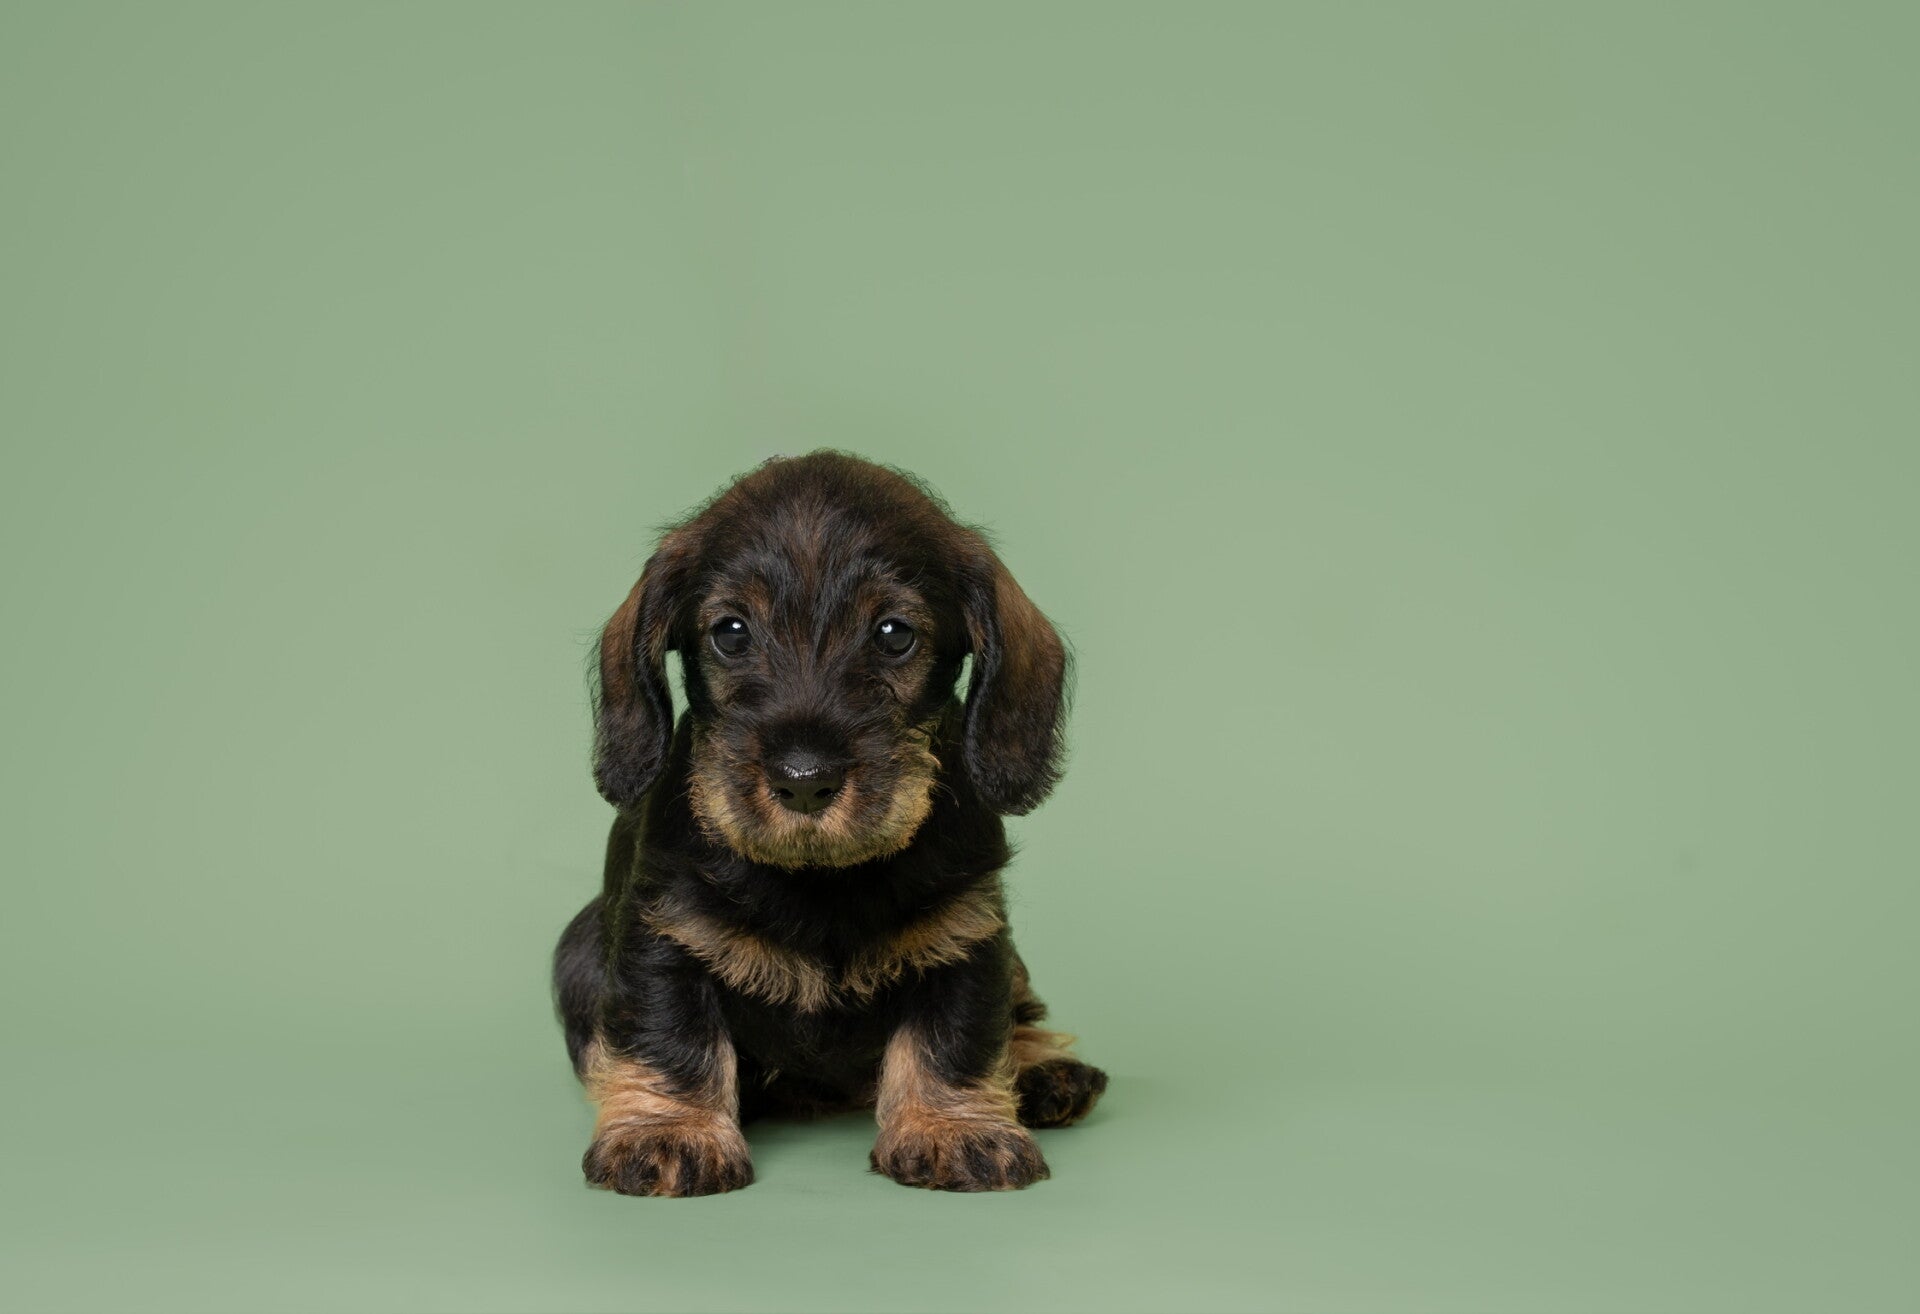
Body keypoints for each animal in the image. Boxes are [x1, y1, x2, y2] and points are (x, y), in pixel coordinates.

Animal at [552, 451, 1106, 1195]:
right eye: (731, 632)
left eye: (894, 634)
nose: (804, 780)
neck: (820, 879)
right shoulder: (664, 934)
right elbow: (673, 1036)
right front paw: (669, 1132)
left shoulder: (967, 933)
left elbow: (956, 1035)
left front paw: (953, 1127)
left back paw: (1045, 1072)